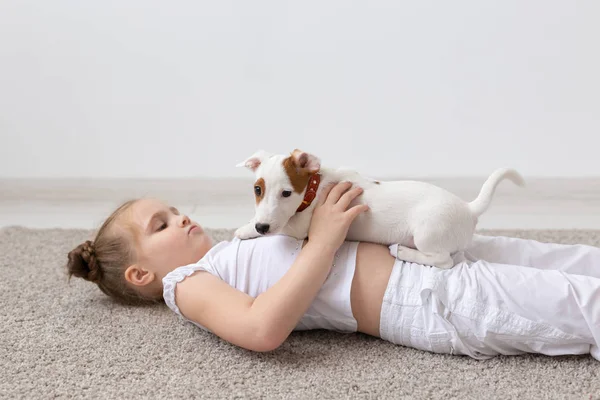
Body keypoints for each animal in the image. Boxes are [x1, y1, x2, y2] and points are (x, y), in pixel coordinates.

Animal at [236, 149, 524, 268]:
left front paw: (245, 229)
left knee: (443, 261)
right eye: (257, 190)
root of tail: (469, 208)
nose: (262, 226)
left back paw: (404, 252)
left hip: (428, 232)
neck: (314, 188)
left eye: (286, 193)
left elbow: (283, 227)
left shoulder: (299, 227)